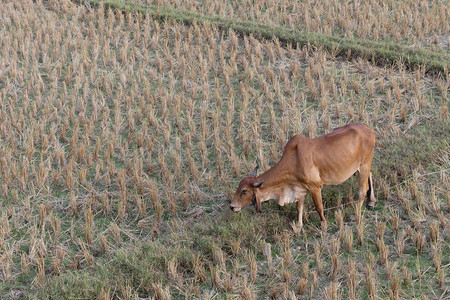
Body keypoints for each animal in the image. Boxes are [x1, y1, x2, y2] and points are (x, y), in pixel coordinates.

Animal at [232, 122, 376, 227]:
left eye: (244, 191)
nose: (232, 206)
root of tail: (369, 129)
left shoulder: (315, 187)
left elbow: (319, 207)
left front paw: (324, 224)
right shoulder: (299, 189)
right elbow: (299, 208)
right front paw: (299, 225)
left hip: (364, 165)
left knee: (362, 190)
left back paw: (356, 213)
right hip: (362, 166)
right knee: (370, 175)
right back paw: (371, 202)